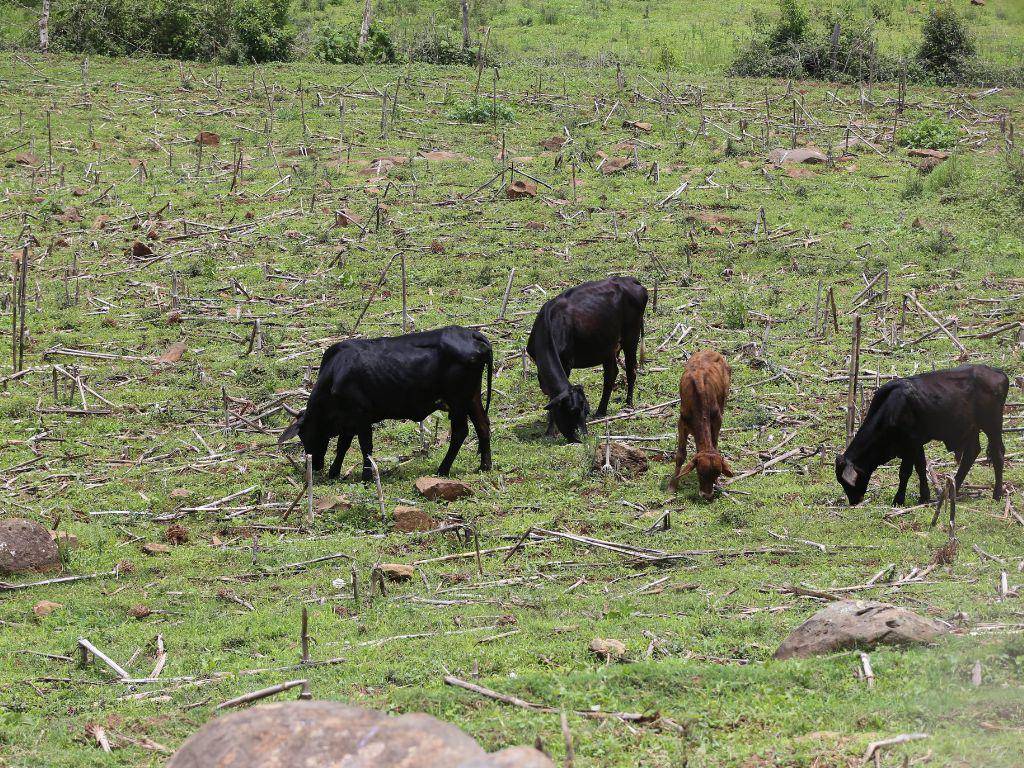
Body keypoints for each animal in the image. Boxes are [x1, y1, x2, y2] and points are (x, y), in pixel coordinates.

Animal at [278, 325, 489, 481]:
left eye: (303, 434)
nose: (314, 466)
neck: (336, 372)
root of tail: (472, 334)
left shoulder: (361, 416)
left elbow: (365, 447)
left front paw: (366, 476)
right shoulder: (348, 421)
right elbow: (343, 445)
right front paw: (334, 472)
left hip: (458, 401)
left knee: (461, 432)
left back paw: (443, 470)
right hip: (472, 399)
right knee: (483, 425)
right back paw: (485, 466)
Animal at [528, 278, 647, 444]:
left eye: (585, 411)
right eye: (572, 411)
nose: (582, 437)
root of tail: (630, 280)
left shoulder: (567, 362)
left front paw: (550, 430)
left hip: (631, 336)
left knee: (631, 369)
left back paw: (628, 403)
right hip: (607, 346)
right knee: (611, 374)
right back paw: (601, 411)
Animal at [667, 348, 733, 499]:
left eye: (717, 474)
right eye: (700, 473)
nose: (707, 495)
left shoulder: (717, 419)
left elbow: (714, 444)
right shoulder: (682, 423)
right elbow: (680, 455)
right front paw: (672, 485)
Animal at [835, 364, 1011, 507]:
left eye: (847, 483)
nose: (854, 501)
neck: (891, 409)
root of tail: (998, 372)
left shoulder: (911, 443)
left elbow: (905, 472)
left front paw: (898, 499)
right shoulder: (915, 445)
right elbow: (920, 467)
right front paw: (924, 496)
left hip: (992, 425)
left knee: (997, 454)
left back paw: (997, 494)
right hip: (971, 428)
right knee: (971, 453)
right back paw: (953, 489)